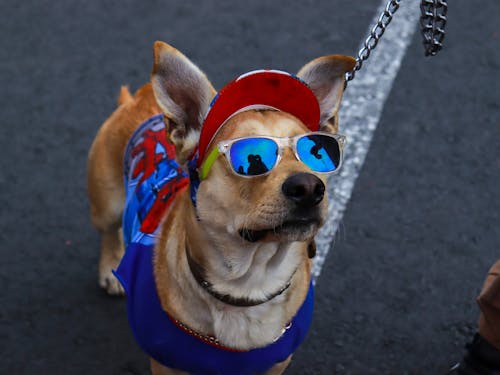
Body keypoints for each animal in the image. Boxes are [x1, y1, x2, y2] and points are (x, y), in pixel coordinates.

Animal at [88, 41, 356, 375]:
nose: (308, 188)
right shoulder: (166, 364)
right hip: (107, 204)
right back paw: (111, 269)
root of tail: (139, 98)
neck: (247, 284)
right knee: (108, 233)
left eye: (317, 152)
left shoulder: (276, 364)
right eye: (252, 157)